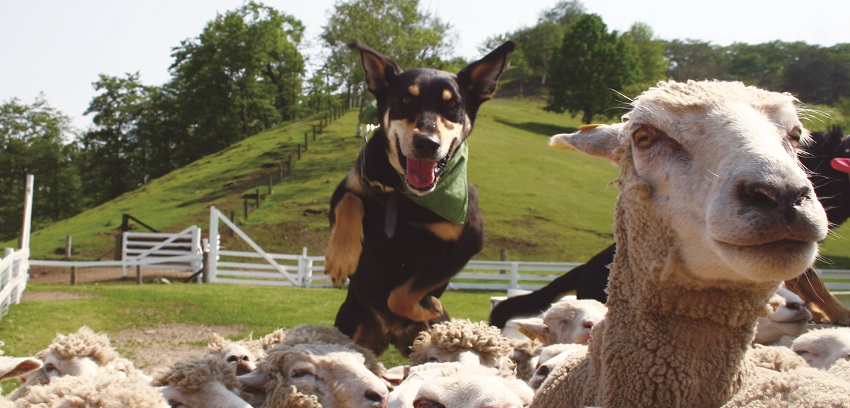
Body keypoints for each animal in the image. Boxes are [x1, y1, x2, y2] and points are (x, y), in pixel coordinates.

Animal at [322, 39, 510, 356]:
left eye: (453, 105)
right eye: (405, 100)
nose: (426, 143)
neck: (405, 197)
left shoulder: (469, 240)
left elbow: (403, 293)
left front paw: (427, 306)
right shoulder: (347, 187)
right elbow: (352, 202)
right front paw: (342, 258)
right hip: (348, 324)